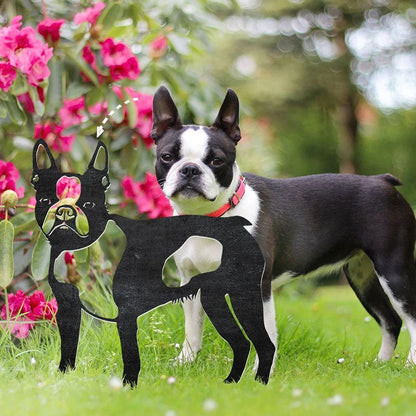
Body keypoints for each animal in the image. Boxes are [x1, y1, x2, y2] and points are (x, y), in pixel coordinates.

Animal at [151, 86, 416, 368]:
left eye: (216, 161)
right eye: (167, 157)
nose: (190, 169)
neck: (208, 218)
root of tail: (382, 180)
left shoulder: (258, 285)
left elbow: (264, 331)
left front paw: (260, 370)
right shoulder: (190, 282)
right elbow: (192, 327)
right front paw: (185, 362)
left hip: (394, 269)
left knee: (411, 316)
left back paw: (409, 363)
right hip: (361, 274)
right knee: (390, 320)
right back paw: (381, 363)